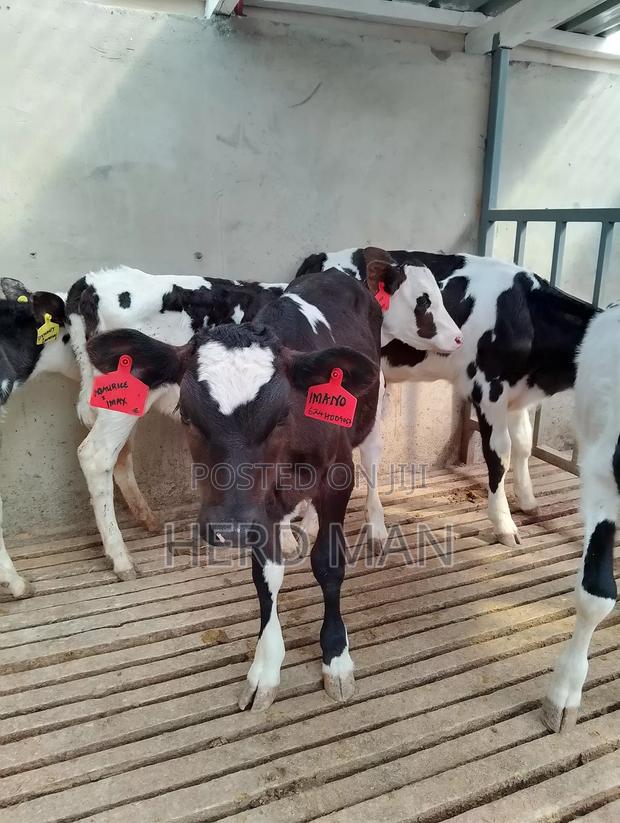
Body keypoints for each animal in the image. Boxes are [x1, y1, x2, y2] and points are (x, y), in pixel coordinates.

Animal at [87, 270, 382, 710]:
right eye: (187, 415)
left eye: (282, 416)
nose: (230, 529)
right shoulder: (257, 507)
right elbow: (266, 577)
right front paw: (266, 667)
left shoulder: (338, 477)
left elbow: (329, 564)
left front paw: (336, 658)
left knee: (375, 461)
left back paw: (375, 528)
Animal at [296, 248, 597, 546]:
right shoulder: (489, 389)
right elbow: (500, 453)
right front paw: (504, 524)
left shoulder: (516, 392)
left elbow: (523, 444)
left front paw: (528, 500)